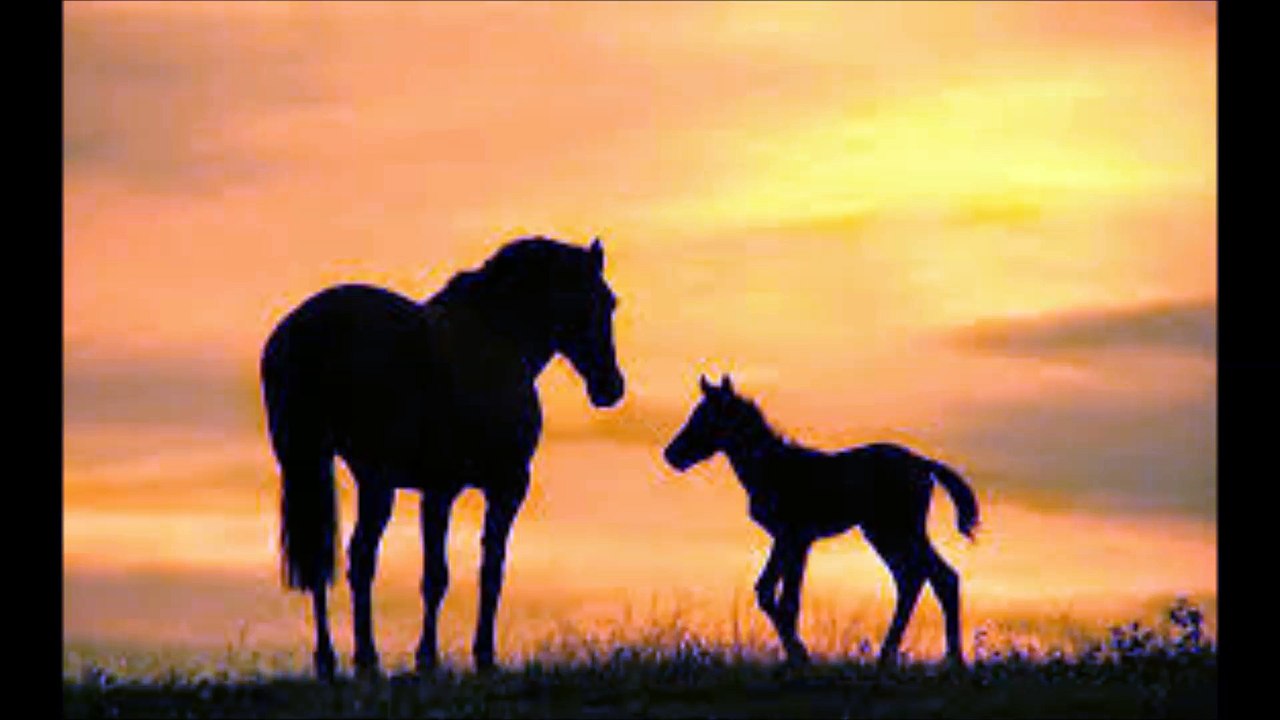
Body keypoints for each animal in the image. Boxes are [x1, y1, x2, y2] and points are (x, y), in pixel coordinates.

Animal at [260, 236, 625, 679]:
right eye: (600, 301)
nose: (610, 387)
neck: (498, 340)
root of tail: (307, 332)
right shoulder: (494, 486)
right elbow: (474, 572)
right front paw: (459, 657)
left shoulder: (440, 491)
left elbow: (453, 573)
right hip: (375, 479)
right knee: (360, 558)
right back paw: (365, 659)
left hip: (313, 467)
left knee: (327, 561)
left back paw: (331, 662)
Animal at [663, 375, 979, 668]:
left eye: (705, 418)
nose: (671, 455)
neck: (772, 467)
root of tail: (925, 464)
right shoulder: (789, 539)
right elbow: (769, 591)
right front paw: (796, 654)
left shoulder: (795, 536)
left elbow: (784, 599)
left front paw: (799, 656)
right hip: (884, 533)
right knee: (918, 578)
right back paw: (903, 657)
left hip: (899, 530)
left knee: (934, 576)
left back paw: (947, 658)